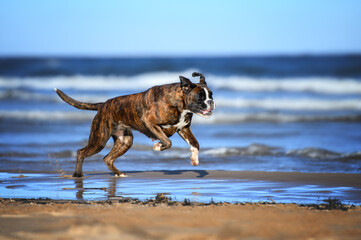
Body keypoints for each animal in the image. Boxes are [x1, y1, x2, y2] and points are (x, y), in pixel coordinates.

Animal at [54, 72, 215, 177]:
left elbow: (195, 143)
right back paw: (77, 175)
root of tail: (103, 105)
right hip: (99, 140)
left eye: (211, 95)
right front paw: (158, 146)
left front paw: (194, 159)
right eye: (200, 96)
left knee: (107, 159)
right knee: (81, 152)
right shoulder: (150, 122)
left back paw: (119, 174)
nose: (211, 102)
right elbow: (167, 141)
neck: (179, 103)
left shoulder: (184, 128)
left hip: (125, 141)